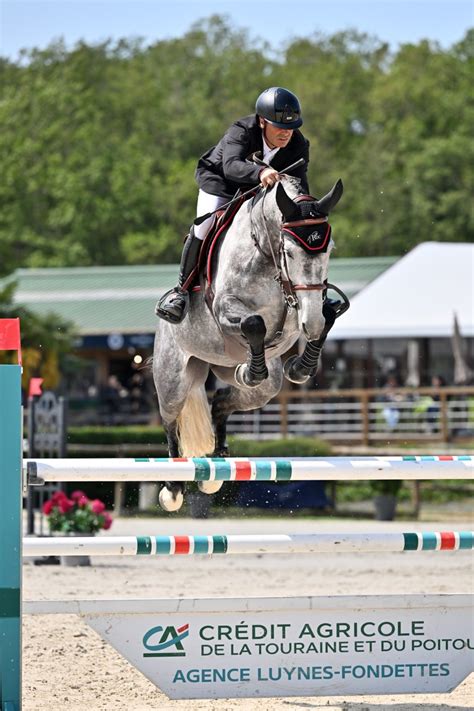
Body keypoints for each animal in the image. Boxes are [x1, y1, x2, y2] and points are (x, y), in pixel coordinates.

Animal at [153, 177, 348, 512]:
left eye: (329, 250)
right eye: (289, 252)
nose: (310, 325)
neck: (266, 254)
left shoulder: (301, 312)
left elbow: (325, 316)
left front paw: (301, 366)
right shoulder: (225, 309)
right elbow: (254, 323)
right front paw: (253, 370)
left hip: (260, 387)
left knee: (221, 401)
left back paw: (217, 466)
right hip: (173, 380)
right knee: (170, 421)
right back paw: (173, 488)